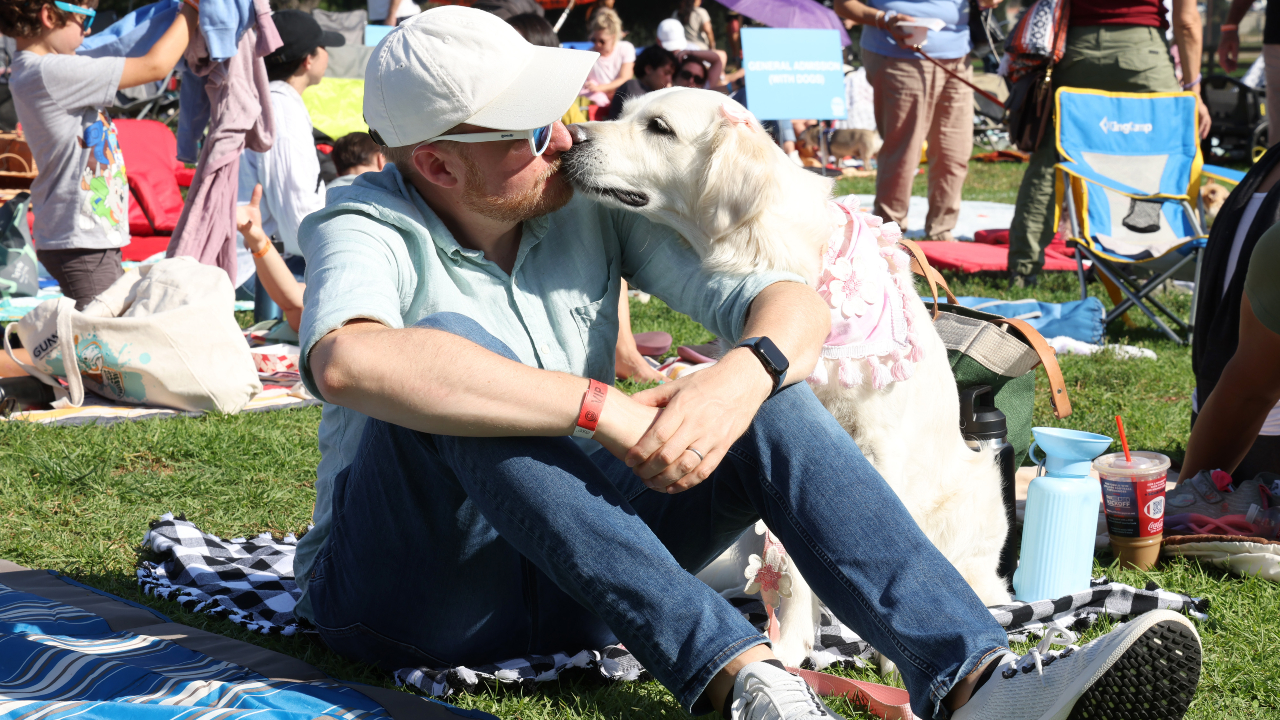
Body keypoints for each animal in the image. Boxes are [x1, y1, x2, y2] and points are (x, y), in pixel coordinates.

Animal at [560, 85, 1008, 666]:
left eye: (659, 127)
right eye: (621, 111)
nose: (569, 136)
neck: (771, 251)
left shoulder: (883, 446)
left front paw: (889, 653)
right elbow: (794, 571)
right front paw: (793, 645)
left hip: (977, 492)